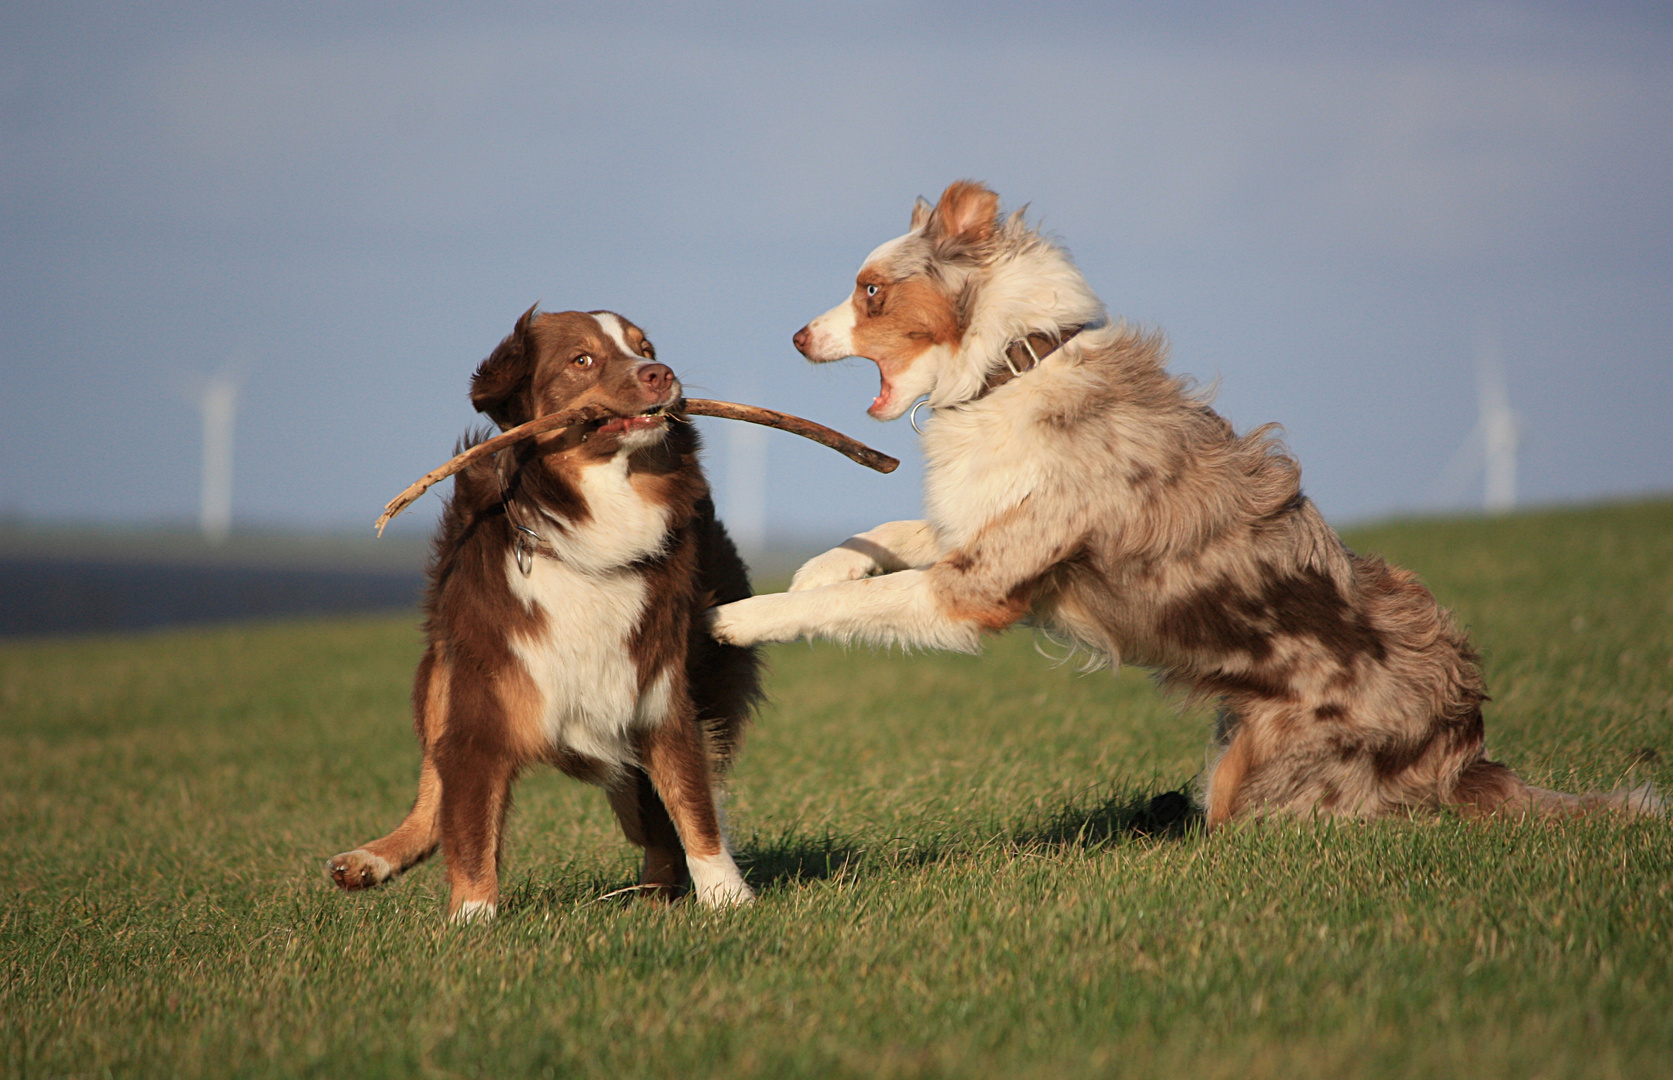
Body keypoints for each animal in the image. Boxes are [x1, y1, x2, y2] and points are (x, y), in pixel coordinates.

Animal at [329, 304, 762, 922]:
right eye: (581, 360)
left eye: (644, 347)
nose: (661, 374)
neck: (592, 528)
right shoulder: (480, 711)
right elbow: (469, 829)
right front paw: (472, 920)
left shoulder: (658, 695)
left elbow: (695, 810)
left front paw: (728, 900)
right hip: (439, 674)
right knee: (434, 787)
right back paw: (374, 858)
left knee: (659, 828)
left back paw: (654, 896)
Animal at [709, 183, 1659, 829]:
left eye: (869, 290)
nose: (796, 336)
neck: (1015, 361)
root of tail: (1465, 743)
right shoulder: (980, 532)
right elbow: (883, 537)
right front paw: (816, 566)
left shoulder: (980, 584)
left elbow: (863, 600)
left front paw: (742, 616)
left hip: (1273, 765)